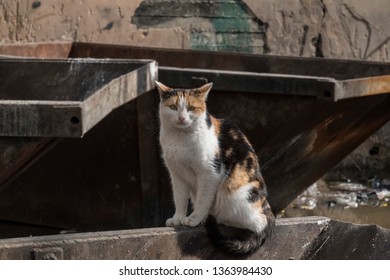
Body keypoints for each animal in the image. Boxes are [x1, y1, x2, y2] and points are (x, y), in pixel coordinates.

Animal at [156, 81, 274, 256]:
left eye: (191, 108)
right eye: (173, 107)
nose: (182, 117)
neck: (180, 139)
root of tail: (269, 212)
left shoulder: (209, 173)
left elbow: (202, 200)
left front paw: (194, 218)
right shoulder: (177, 174)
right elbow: (180, 198)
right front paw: (178, 218)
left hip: (235, 193)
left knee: (254, 224)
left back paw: (215, 218)